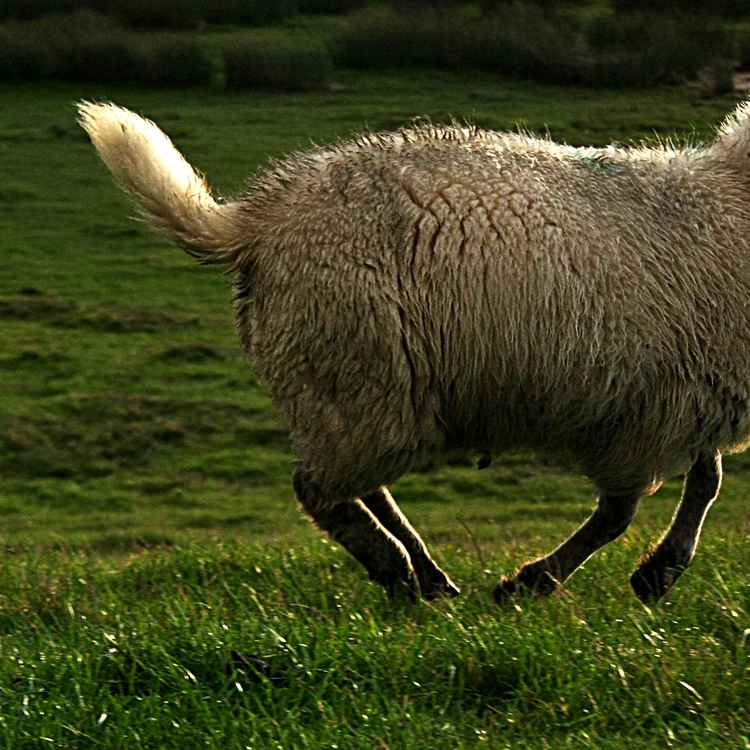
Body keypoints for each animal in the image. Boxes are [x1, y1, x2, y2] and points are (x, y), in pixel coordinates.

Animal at [77, 98, 750, 605]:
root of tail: (261, 220)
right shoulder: (644, 414)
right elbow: (621, 512)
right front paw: (535, 582)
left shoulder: (693, 394)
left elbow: (705, 481)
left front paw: (659, 572)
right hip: (357, 371)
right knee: (317, 489)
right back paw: (397, 571)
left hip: (355, 389)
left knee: (357, 485)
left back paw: (425, 572)